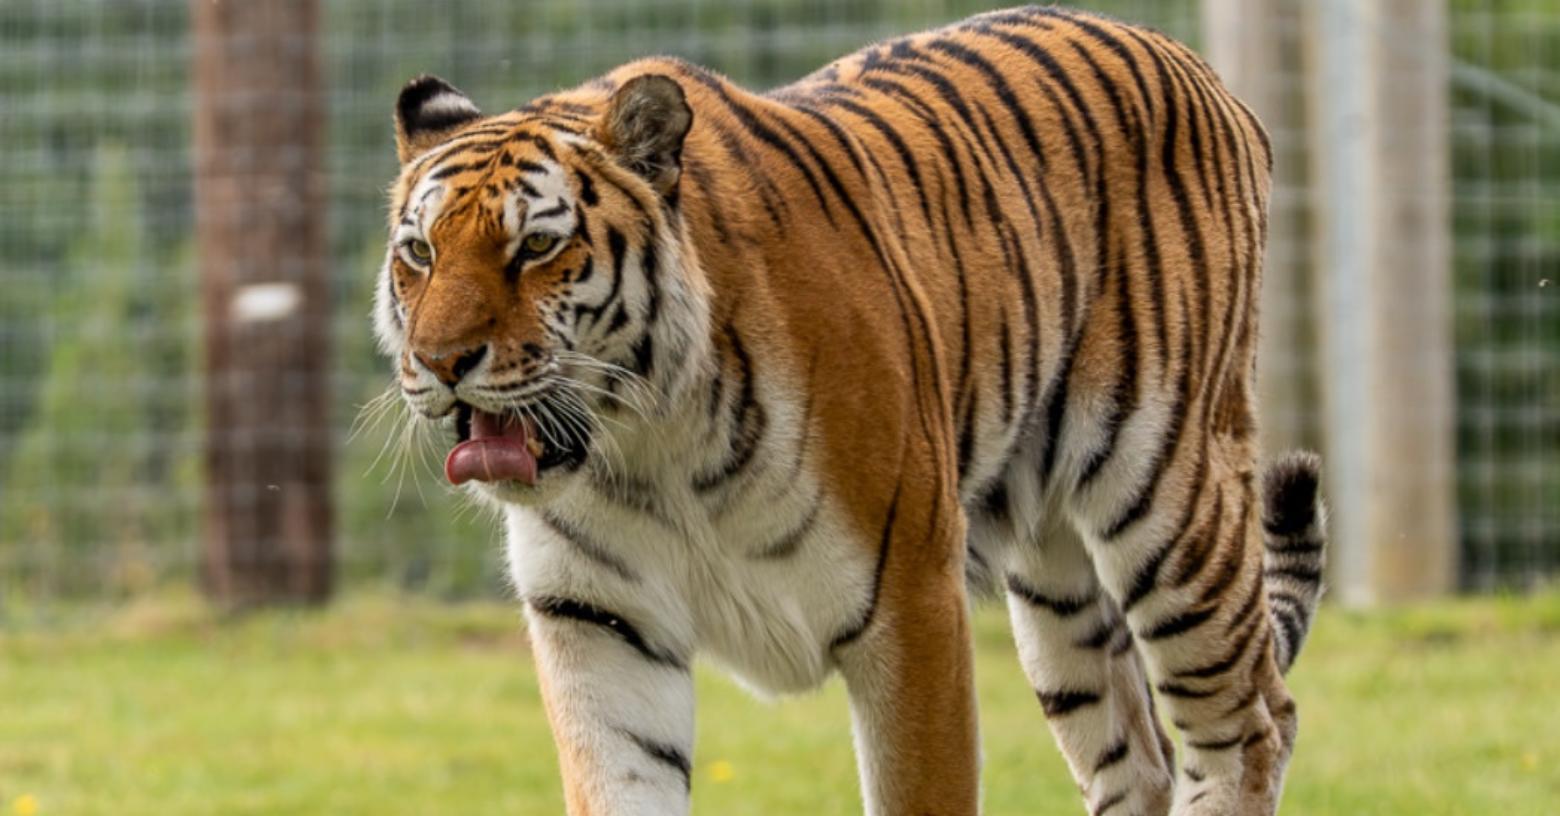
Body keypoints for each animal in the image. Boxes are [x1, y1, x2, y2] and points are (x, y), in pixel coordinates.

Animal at [370, 5, 1327, 815]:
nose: (440, 362)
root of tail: (1189, 61)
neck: (649, 448)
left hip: (1168, 493)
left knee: (1252, 723)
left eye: (536, 245)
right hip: (1057, 586)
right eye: (419, 252)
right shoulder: (601, 625)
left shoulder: (912, 603)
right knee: (1140, 757)